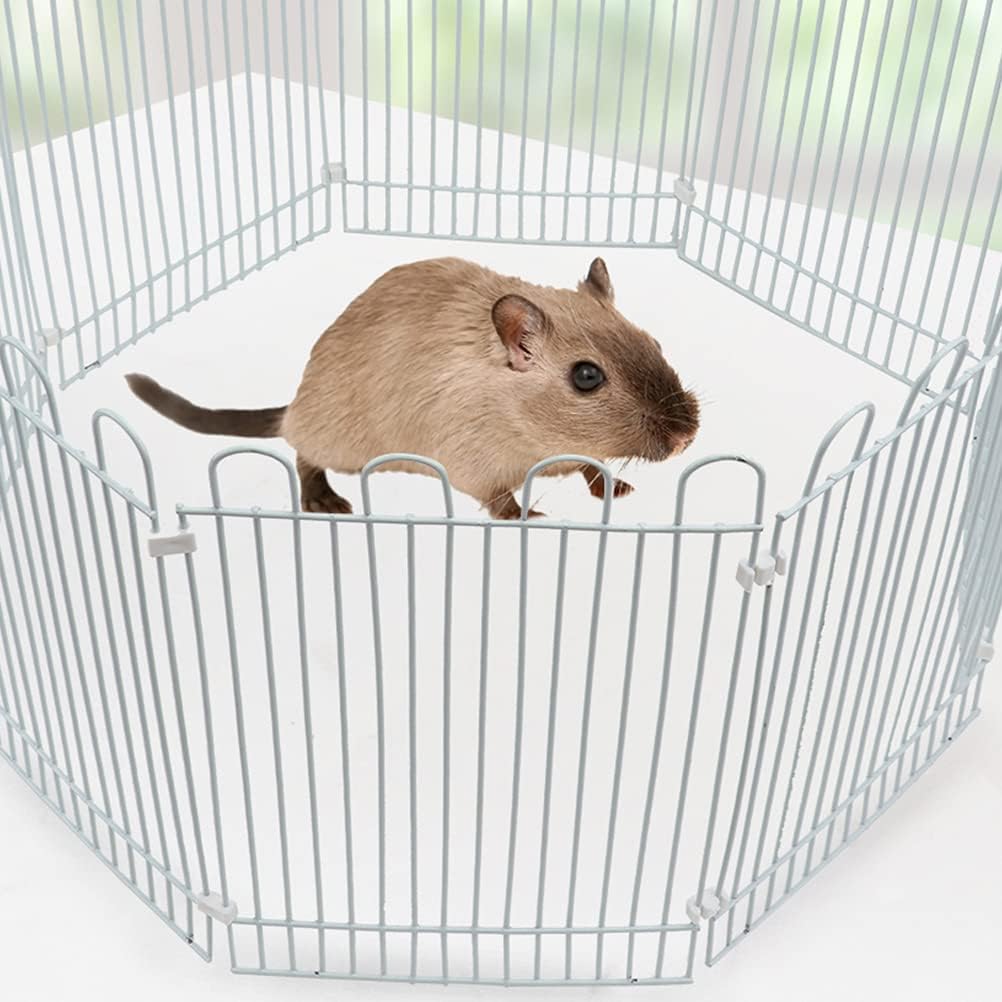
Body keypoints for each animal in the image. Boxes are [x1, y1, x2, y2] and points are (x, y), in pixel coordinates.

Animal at [126, 256, 700, 519]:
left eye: (652, 342)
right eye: (586, 376)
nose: (685, 438)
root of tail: (293, 404)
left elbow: (591, 464)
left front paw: (614, 488)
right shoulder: (472, 459)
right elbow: (497, 498)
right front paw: (529, 517)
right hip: (337, 439)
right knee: (301, 454)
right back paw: (324, 500)